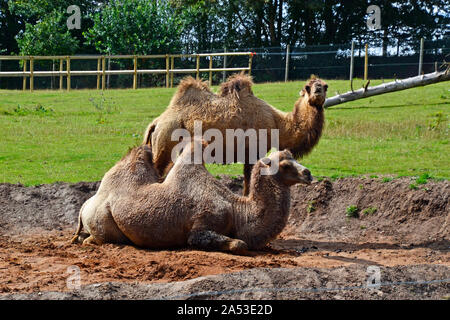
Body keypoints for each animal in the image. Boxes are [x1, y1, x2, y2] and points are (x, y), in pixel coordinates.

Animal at [71, 141, 312, 251]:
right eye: (285, 164)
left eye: (293, 157)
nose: (308, 173)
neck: (238, 210)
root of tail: (85, 205)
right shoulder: (200, 228)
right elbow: (239, 244)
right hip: (103, 221)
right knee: (99, 238)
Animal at [144, 74, 326, 195]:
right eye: (308, 87)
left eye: (325, 85)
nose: (317, 91)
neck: (278, 124)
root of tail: (156, 123)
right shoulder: (253, 151)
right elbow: (249, 181)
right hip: (166, 143)